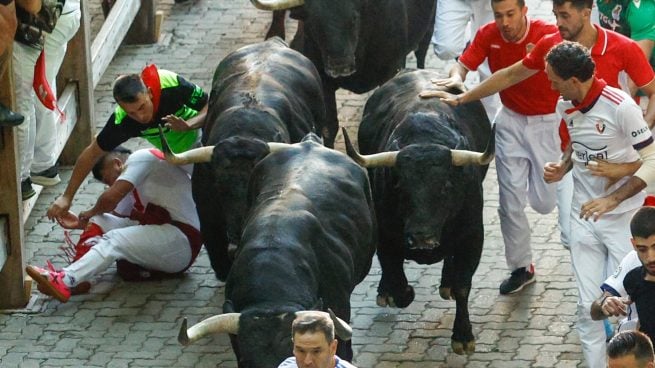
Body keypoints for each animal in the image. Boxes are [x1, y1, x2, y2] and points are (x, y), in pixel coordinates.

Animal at [251, 0, 436, 147]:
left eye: (354, 18)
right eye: (314, 21)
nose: (339, 64)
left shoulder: (391, 70)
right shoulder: (323, 81)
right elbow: (329, 127)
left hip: (428, 31)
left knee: (421, 53)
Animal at [346, 68, 494, 354]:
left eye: (447, 185)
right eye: (400, 185)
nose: (421, 236)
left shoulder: (473, 236)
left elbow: (463, 285)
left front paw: (463, 335)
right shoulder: (385, 237)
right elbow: (397, 279)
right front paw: (397, 292)